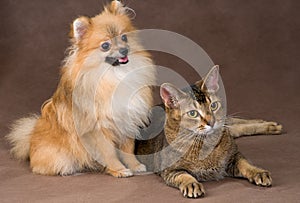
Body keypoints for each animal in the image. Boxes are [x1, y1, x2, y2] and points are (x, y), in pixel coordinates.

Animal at [5, 0, 156, 178]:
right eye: (105, 45)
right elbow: (109, 152)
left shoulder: (126, 120)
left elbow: (128, 149)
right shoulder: (98, 128)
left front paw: (135, 166)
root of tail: (30, 141)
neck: (114, 75)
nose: (124, 50)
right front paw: (118, 170)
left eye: (124, 37)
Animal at [136, 66, 282, 198]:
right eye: (193, 113)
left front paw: (258, 172)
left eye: (214, 105)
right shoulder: (170, 170)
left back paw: (269, 124)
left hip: (225, 124)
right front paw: (192, 184)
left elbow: (246, 164)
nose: (211, 122)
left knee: (236, 123)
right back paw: (270, 125)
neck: (205, 143)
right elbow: (183, 175)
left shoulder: (234, 155)